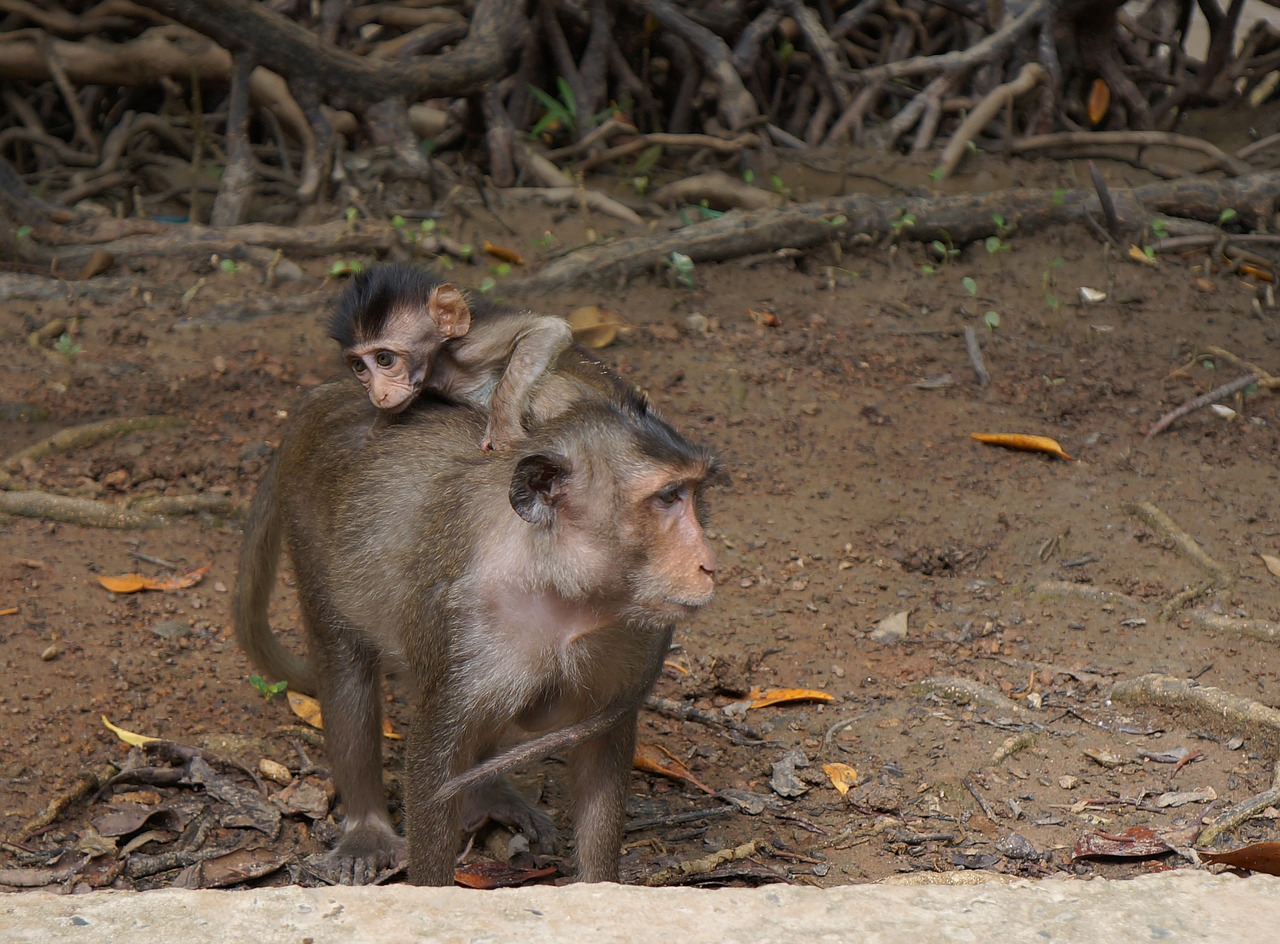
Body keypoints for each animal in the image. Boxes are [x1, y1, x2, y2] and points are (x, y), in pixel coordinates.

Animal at [234, 378, 716, 880]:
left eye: (693, 492)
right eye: (667, 497)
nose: (708, 564)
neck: (555, 580)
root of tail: (325, 396)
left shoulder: (629, 635)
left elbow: (602, 746)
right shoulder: (463, 627)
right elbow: (432, 764)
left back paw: (487, 795)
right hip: (309, 532)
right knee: (345, 662)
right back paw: (366, 828)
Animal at [330, 263, 576, 450]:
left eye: (384, 359)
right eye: (359, 366)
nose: (379, 394)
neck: (439, 366)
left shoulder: (473, 347)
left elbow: (547, 329)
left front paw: (504, 433)